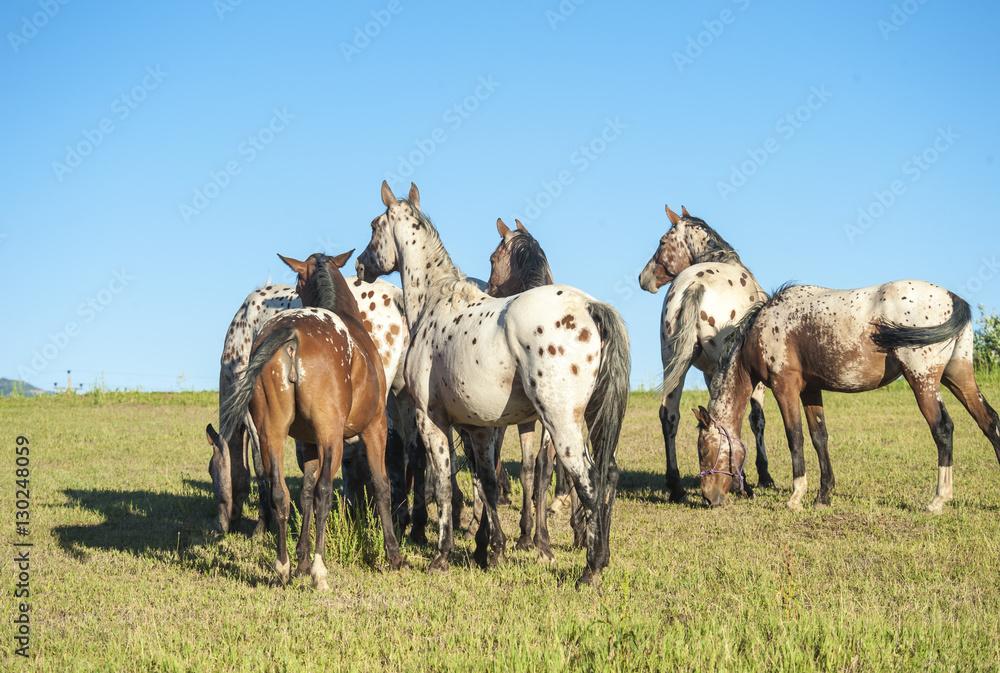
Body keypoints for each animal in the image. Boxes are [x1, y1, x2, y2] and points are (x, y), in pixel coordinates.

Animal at [210, 253, 405, 588]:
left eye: (212, 473)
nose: (222, 524)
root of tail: (292, 332)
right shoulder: (373, 428)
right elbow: (379, 485)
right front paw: (392, 554)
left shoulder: (312, 440)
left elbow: (303, 493)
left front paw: (299, 557)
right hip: (329, 436)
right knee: (323, 492)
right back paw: (318, 568)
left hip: (274, 432)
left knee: (281, 493)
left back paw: (285, 566)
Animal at [356, 181, 630, 587]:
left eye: (374, 225)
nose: (360, 265)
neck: (436, 302)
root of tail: (591, 307)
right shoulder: (479, 428)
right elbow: (486, 483)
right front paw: (493, 549)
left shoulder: (431, 421)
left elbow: (443, 484)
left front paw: (443, 556)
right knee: (607, 475)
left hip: (560, 424)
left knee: (589, 482)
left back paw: (590, 568)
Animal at [638, 204, 774, 502]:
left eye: (661, 243)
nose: (643, 278)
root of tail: (695, 285)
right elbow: (756, 419)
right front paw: (764, 475)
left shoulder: (709, 373)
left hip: (673, 364)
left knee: (669, 417)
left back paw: (676, 486)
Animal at [695, 281, 1000, 512]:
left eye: (704, 451)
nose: (709, 499)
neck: (762, 330)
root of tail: (953, 299)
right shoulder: (810, 390)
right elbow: (819, 437)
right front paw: (823, 495)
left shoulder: (785, 388)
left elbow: (795, 437)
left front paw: (796, 497)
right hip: (959, 377)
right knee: (989, 422)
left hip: (922, 381)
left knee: (943, 429)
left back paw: (938, 500)